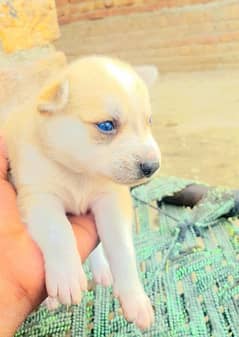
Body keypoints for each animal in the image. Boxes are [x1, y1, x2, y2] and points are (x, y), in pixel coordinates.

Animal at [0, 55, 161, 328]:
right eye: (106, 125)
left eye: (149, 122)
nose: (153, 167)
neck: (79, 173)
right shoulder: (40, 198)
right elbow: (58, 231)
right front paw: (67, 275)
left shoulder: (111, 201)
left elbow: (121, 247)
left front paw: (135, 298)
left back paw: (102, 270)